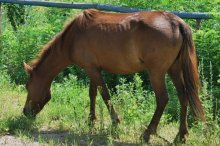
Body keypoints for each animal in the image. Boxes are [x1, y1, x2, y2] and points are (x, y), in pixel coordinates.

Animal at [22, 8, 205, 143]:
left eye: (27, 86)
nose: (25, 112)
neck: (73, 37)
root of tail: (176, 22)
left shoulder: (92, 69)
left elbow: (104, 94)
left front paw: (115, 121)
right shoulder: (93, 69)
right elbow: (93, 93)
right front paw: (92, 120)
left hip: (157, 73)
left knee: (162, 99)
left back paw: (147, 133)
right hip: (175, 70)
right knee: (183, 97)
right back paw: (181, 136)